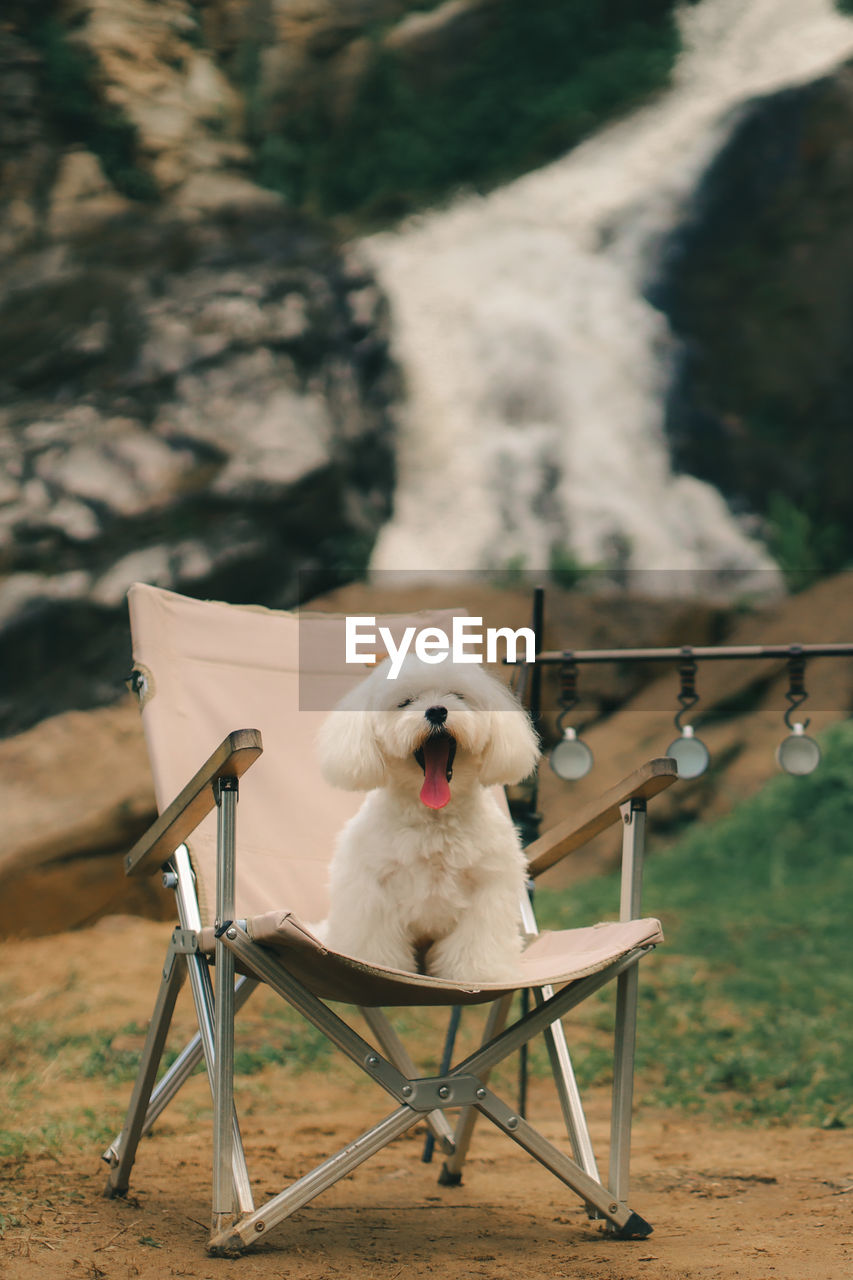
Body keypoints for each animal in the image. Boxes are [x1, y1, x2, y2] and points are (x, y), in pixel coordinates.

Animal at [312, 655, 537, 983]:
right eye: (405, 702)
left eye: (458, 696)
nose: (436, 710)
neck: (434, 819)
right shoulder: (371, 891)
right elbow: (374, 942)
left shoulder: (488, 887)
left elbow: (477, 943)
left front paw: (480, 975)